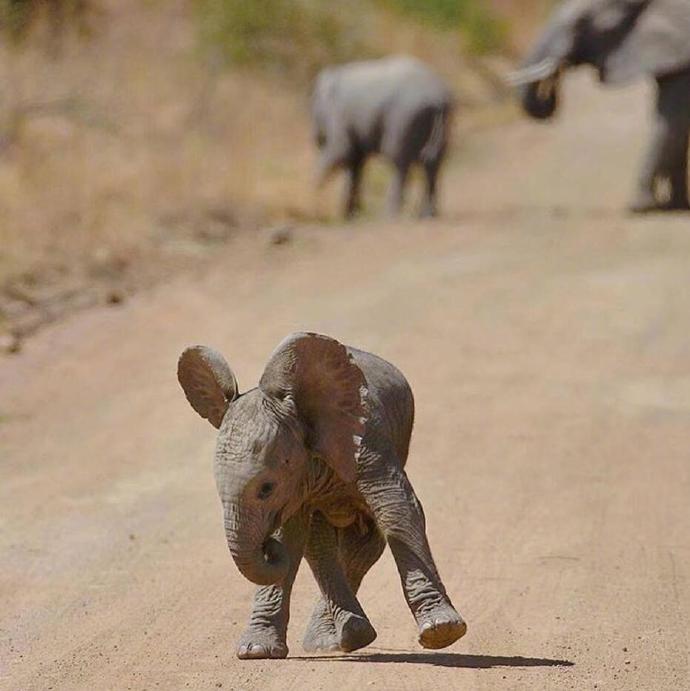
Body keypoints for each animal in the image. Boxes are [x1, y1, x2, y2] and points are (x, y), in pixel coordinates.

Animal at [310, 56, 452, 219]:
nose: (317, 137)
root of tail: (438, 98)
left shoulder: (338, 112)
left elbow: (342, 151)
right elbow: (356, 161)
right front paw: (352, 215)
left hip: (403, 117)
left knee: (399, 160)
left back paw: (390, 215)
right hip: (442, 121)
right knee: (433, 162)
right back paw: (427, 215)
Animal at [508, 0, 688, 212]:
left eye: (579, 24)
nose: (557, 71)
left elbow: (672, 123)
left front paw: (640, 208)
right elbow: (671, 125)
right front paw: (676, 206)